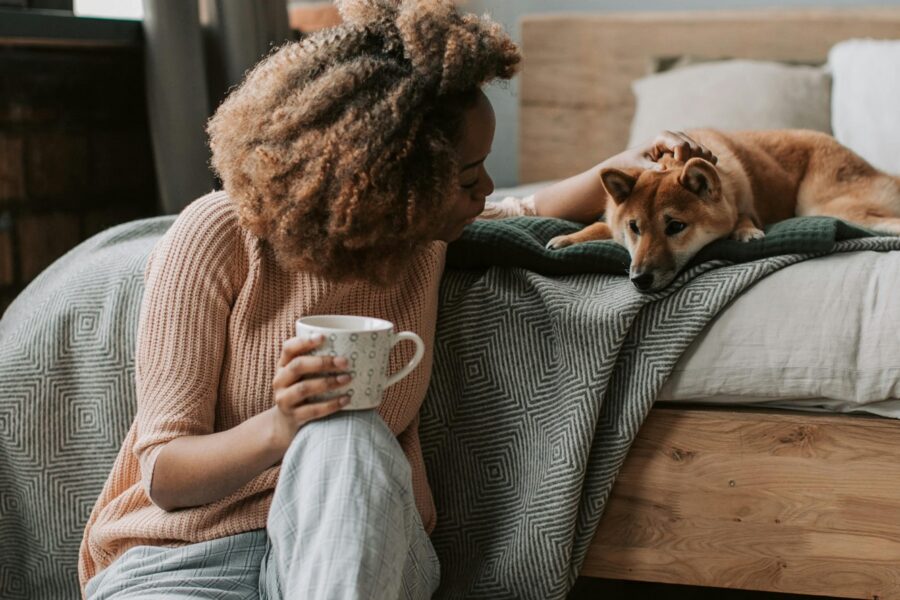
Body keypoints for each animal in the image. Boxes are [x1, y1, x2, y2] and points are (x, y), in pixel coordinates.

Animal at [544, 129, 900, 292]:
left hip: (822, 204)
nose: (640, 280)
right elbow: (599, 227)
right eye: (634, 228)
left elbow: (742, 215)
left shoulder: (742, 202)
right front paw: (568, 238)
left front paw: (746, 230)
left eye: (675, 226)